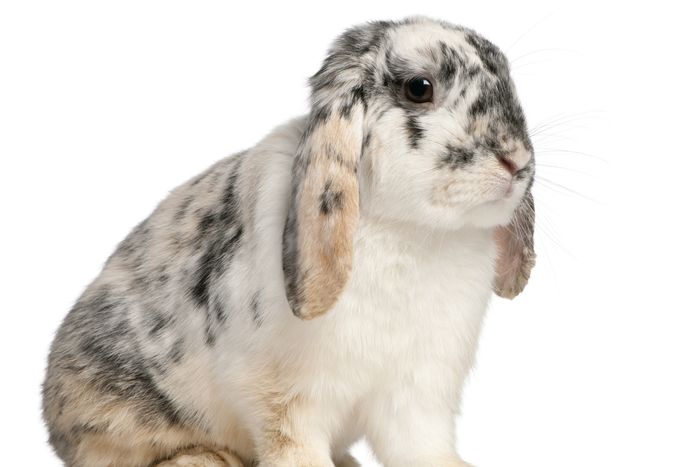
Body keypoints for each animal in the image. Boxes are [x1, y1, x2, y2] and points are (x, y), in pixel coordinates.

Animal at [42, 15, 536, 467]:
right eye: (419, 88)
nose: (516, 162)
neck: (412, 233)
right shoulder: (286, 399)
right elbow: (294, 447)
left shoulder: (417, 396)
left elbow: (424, 449)